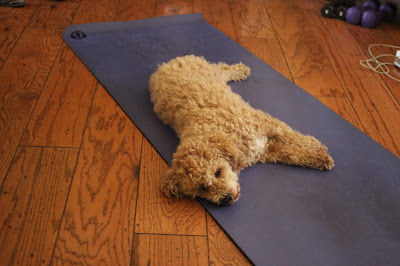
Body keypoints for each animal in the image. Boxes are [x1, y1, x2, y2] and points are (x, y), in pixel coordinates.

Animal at [150, 55, 334, 206]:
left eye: (217, 172)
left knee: (222, 67)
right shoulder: (266, 151)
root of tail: (162, 67)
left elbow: (291, 134)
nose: (226, 198)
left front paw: (316, 145)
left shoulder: (264, 122)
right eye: (202, 188)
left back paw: (241, 69)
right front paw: (321, 159)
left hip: (210, 71)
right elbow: (292, 154)